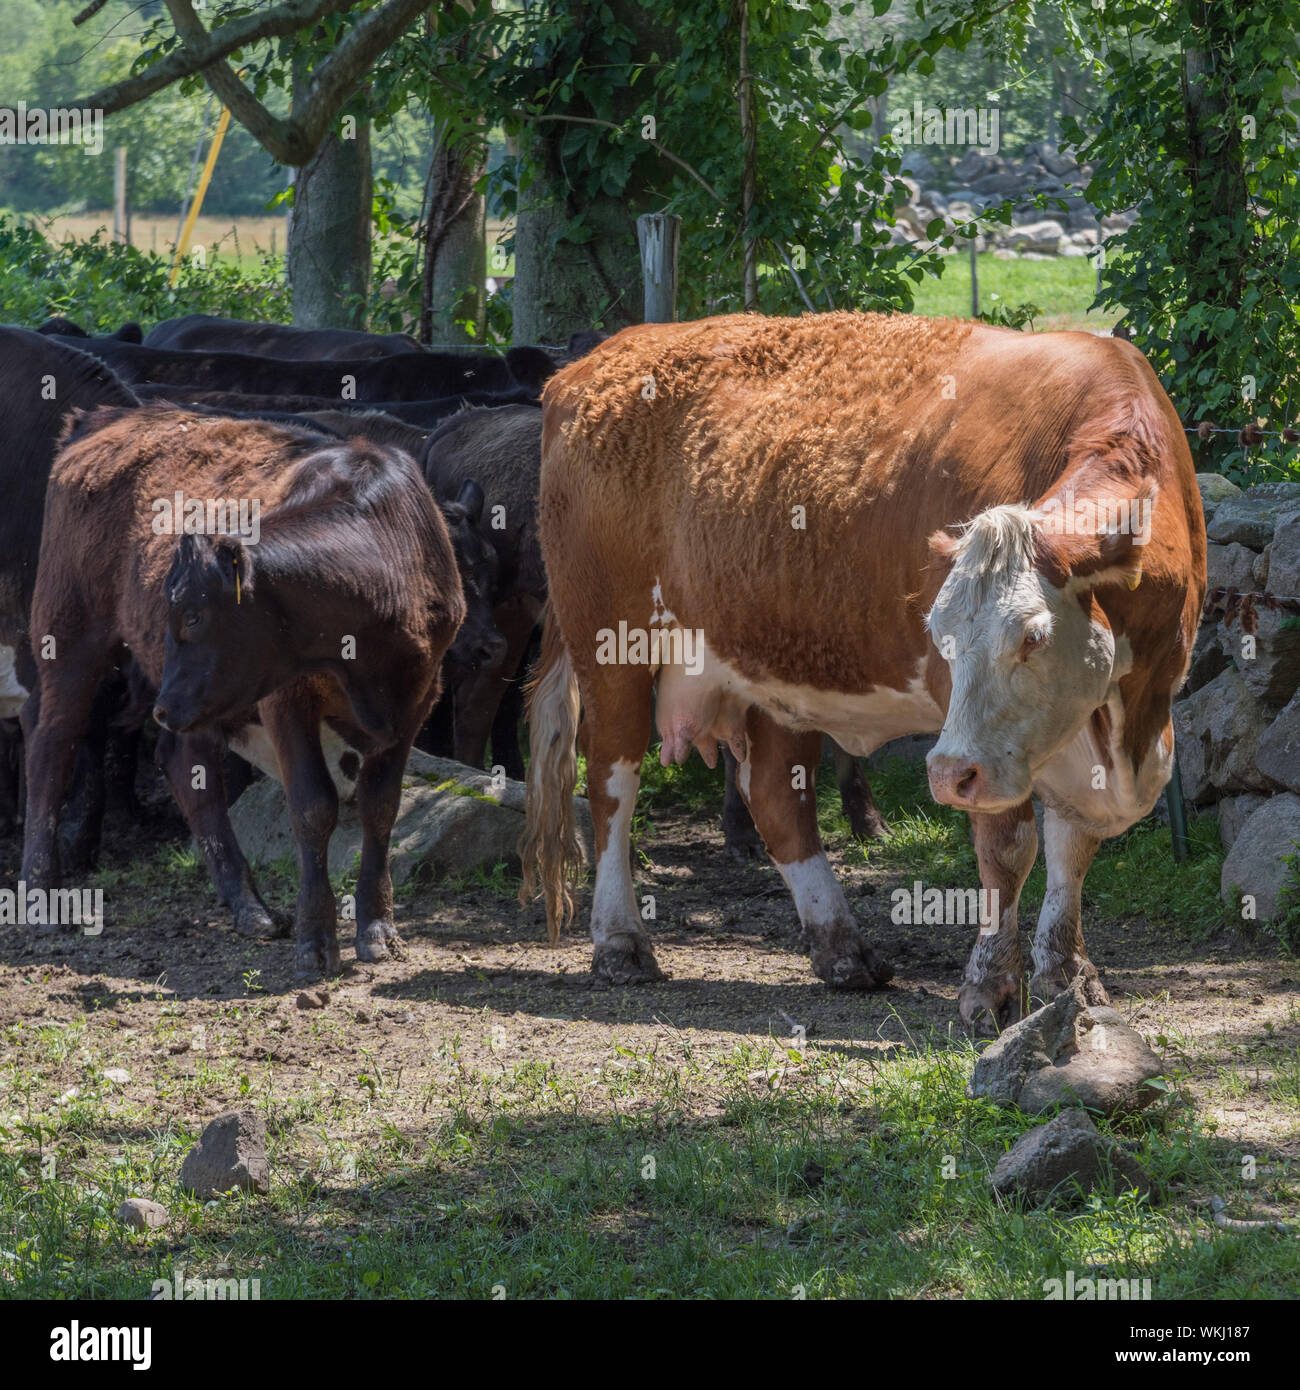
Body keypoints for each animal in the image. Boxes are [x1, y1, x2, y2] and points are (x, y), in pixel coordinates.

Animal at [21, 405, 466, 977]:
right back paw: (40, 893)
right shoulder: (287, 701)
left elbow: (381, 808)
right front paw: (316, 940)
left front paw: (378, 927)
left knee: (188, 767)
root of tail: (107, 420)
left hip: (189, 698)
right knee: (51, 745)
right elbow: (313, 808)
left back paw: (248, 907)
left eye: (192, 615)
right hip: (71, 637)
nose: (163, 709)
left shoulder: (414, 703)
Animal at [520, 312, 1205, 1031]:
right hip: (610, 646)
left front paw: (1069, 974)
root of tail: (597, 360)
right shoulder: (977, 740)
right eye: (939, 634)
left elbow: (1072, 848)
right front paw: (989, 988)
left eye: (1034, 634)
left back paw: (841, 948)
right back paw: (620, 941)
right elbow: (1006, 847)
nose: (945, 772)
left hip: (769, 668)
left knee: (776, 797)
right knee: (611, 784)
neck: (1127, 724)